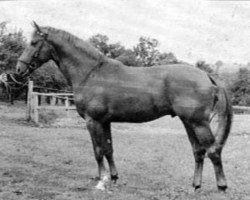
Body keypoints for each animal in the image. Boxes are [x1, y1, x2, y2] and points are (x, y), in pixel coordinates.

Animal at [16, 21, 232, 191]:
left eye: (33, 43)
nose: (19, 69)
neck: (91, 73)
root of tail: (206, 75)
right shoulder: (105, 122)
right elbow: (109, 149)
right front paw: (113, 178)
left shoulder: (93, 121)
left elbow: (98, 151)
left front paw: (101, 182)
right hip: (188, 122)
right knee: (198, 151)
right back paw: (195, 186)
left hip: (198, 123)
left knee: (213, 150)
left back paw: (221, 186)